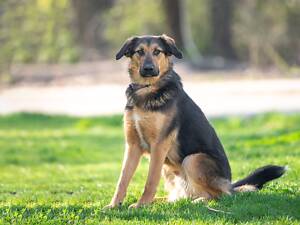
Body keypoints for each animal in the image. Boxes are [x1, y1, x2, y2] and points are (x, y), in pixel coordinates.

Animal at [103, 33, 286, 209]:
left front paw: (142, 205)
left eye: (157, 51)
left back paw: (198, 201)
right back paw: (165, 201)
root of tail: (230, 184)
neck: (147, 89)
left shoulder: (159, 145)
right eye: (139, 52)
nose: (148, 69)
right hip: (169, 170)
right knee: (180, 196)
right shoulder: (132, 145)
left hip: (192, 160)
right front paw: (114, 205)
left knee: (221, 195)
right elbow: (122, 180)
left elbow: (150, 180)